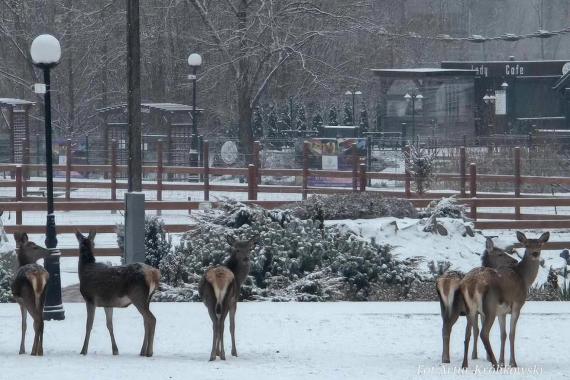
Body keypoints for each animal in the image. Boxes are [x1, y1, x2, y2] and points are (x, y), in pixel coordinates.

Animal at [75, 230, 160, 358]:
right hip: (147, 299)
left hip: (138, 296)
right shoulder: (107, 303)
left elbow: (89, 325)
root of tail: (153, 274)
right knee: (146, 321)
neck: (83, 271)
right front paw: (115, 350)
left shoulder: (90, 299)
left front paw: (83, 351)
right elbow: (110, 325)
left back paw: (149, 352)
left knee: (151, 319)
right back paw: (142, 351)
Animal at [460, 230, 548, 370]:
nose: (535, 253)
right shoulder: (517, 305)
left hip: (471, 310)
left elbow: (503, 334)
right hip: (489, 307)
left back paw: (465, 364)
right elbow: (512, 334)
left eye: (539, 244)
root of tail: (471, 284)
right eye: (527, 244)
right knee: (483, 333)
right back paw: (494, 363)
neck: (524, 279)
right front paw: (512, 363)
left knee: (468, 333)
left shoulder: (502, 312)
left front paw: (503, 362)